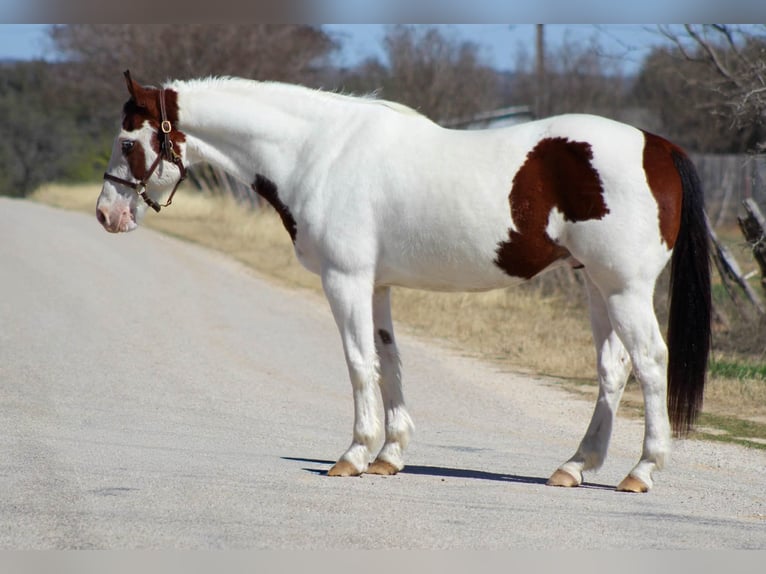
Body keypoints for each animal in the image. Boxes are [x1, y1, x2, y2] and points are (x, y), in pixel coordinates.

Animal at [97, 70, 711, 493]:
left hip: (624, 288)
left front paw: (353, 455)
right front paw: (389, 456)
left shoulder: (345, 280)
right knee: (614, 368)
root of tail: (659, 146)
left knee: (650, 362)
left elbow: (358, 363)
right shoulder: (376, 285)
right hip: (595, 285)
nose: (107, 214)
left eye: (128, 142)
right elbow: (388, 360)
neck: (318, 153)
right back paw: (575, 466)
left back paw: (641, 470)